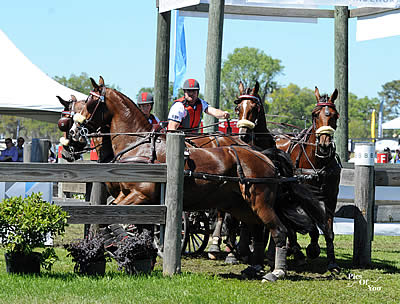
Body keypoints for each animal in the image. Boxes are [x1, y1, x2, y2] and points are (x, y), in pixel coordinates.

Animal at [65, 77, 328, 282]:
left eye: (90, 102)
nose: (74, 133)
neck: (138, 145)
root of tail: (263, 156)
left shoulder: (140, 195)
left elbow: (113, 221)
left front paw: (118, 248)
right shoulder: (133, 197)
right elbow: (112, 221)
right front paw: (122, 250)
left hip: (259, 202)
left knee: (278, 231)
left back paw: (276, 272)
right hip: (242, 207)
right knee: (257, 231)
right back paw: (252, 265)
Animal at [236, 82, 342, 274]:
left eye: (335, 115)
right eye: (315, 114)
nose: (324, 145)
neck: (318, 162)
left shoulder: (331, 197)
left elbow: (328, 229)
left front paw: (332, 262)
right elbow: (309, 226)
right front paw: (310, 248)